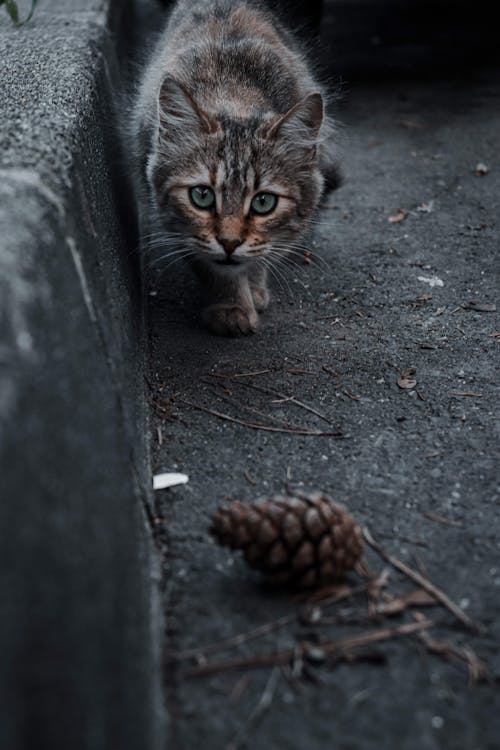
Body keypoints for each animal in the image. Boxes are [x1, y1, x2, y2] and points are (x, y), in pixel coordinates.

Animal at [130, 0, 340, 336]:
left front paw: (252, 287)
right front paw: (231, 306)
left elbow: (262, 252)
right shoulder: (178, 226)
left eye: (264, 202)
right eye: (201, 195)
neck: (233, 93)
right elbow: (212, 267)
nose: (229, 244)